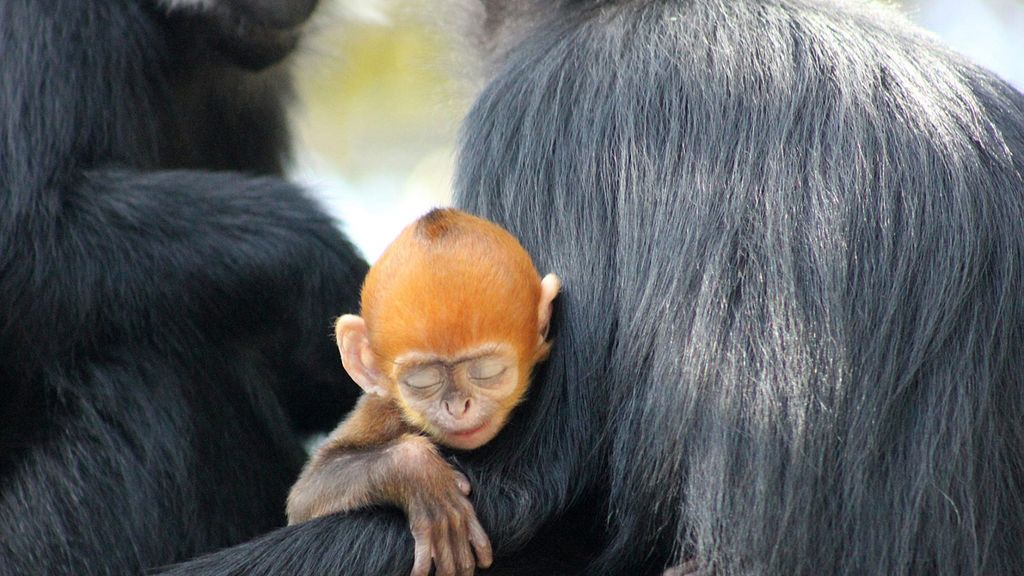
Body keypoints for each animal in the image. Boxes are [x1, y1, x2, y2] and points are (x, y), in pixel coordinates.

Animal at [286, 208, 561, 576]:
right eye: (423, 381)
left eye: (487, 372)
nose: (458, 406)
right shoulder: (383, 410)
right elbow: (305, 498)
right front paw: (420, 476)